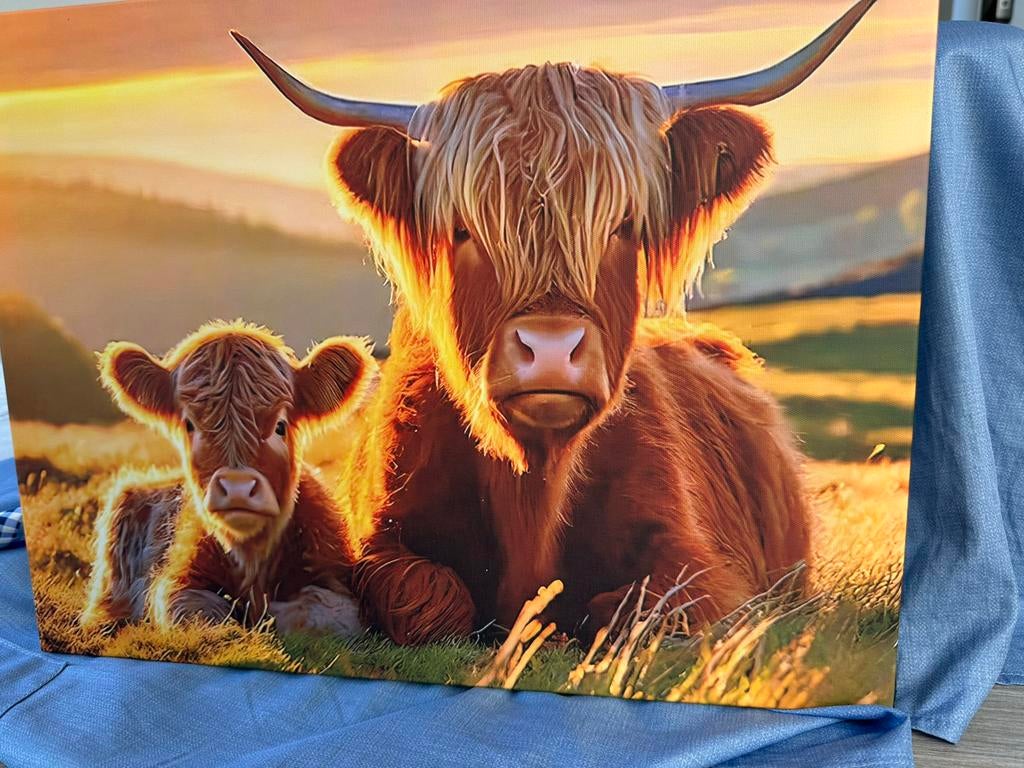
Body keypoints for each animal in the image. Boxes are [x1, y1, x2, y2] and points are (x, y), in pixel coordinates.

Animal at [80, 321, 376, 636]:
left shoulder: (338, 586)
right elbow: (200, 614)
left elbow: (311, 614)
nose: (237, 488)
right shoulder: (177, 585)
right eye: (190, 425)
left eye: (280, 426)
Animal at [233, 0, 874, 643]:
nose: (549, 349)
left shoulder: (703, 567)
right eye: (463, 228)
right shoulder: (380, 542)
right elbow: (430, 600)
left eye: (623, 224)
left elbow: (632, 609)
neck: (532, 492)